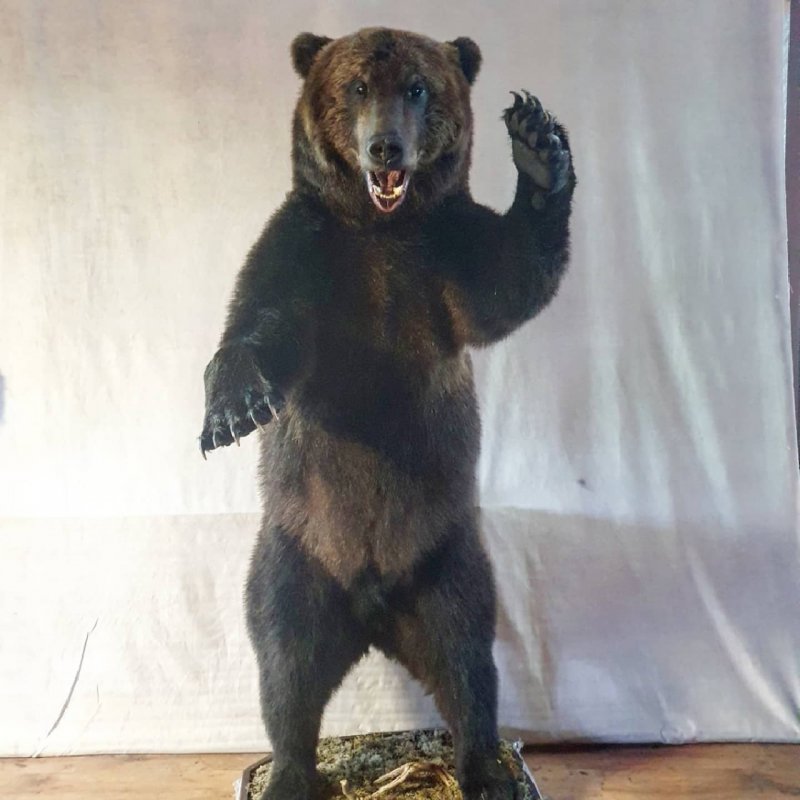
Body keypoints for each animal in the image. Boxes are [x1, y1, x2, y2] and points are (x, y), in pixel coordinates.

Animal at [199, 27, 575, 800]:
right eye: (356, 87)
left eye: (418, 87)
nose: (385, 149)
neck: (381, 228)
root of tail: (373, 614)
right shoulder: (308, 248)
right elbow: (261, 317)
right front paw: (232, 406)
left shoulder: (444, 255)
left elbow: (507, 281)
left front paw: (537, 143)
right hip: (295, 550)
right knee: (283, 661)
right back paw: (286, 773)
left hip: (448, 556)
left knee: (468, 659)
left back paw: (485, 769)